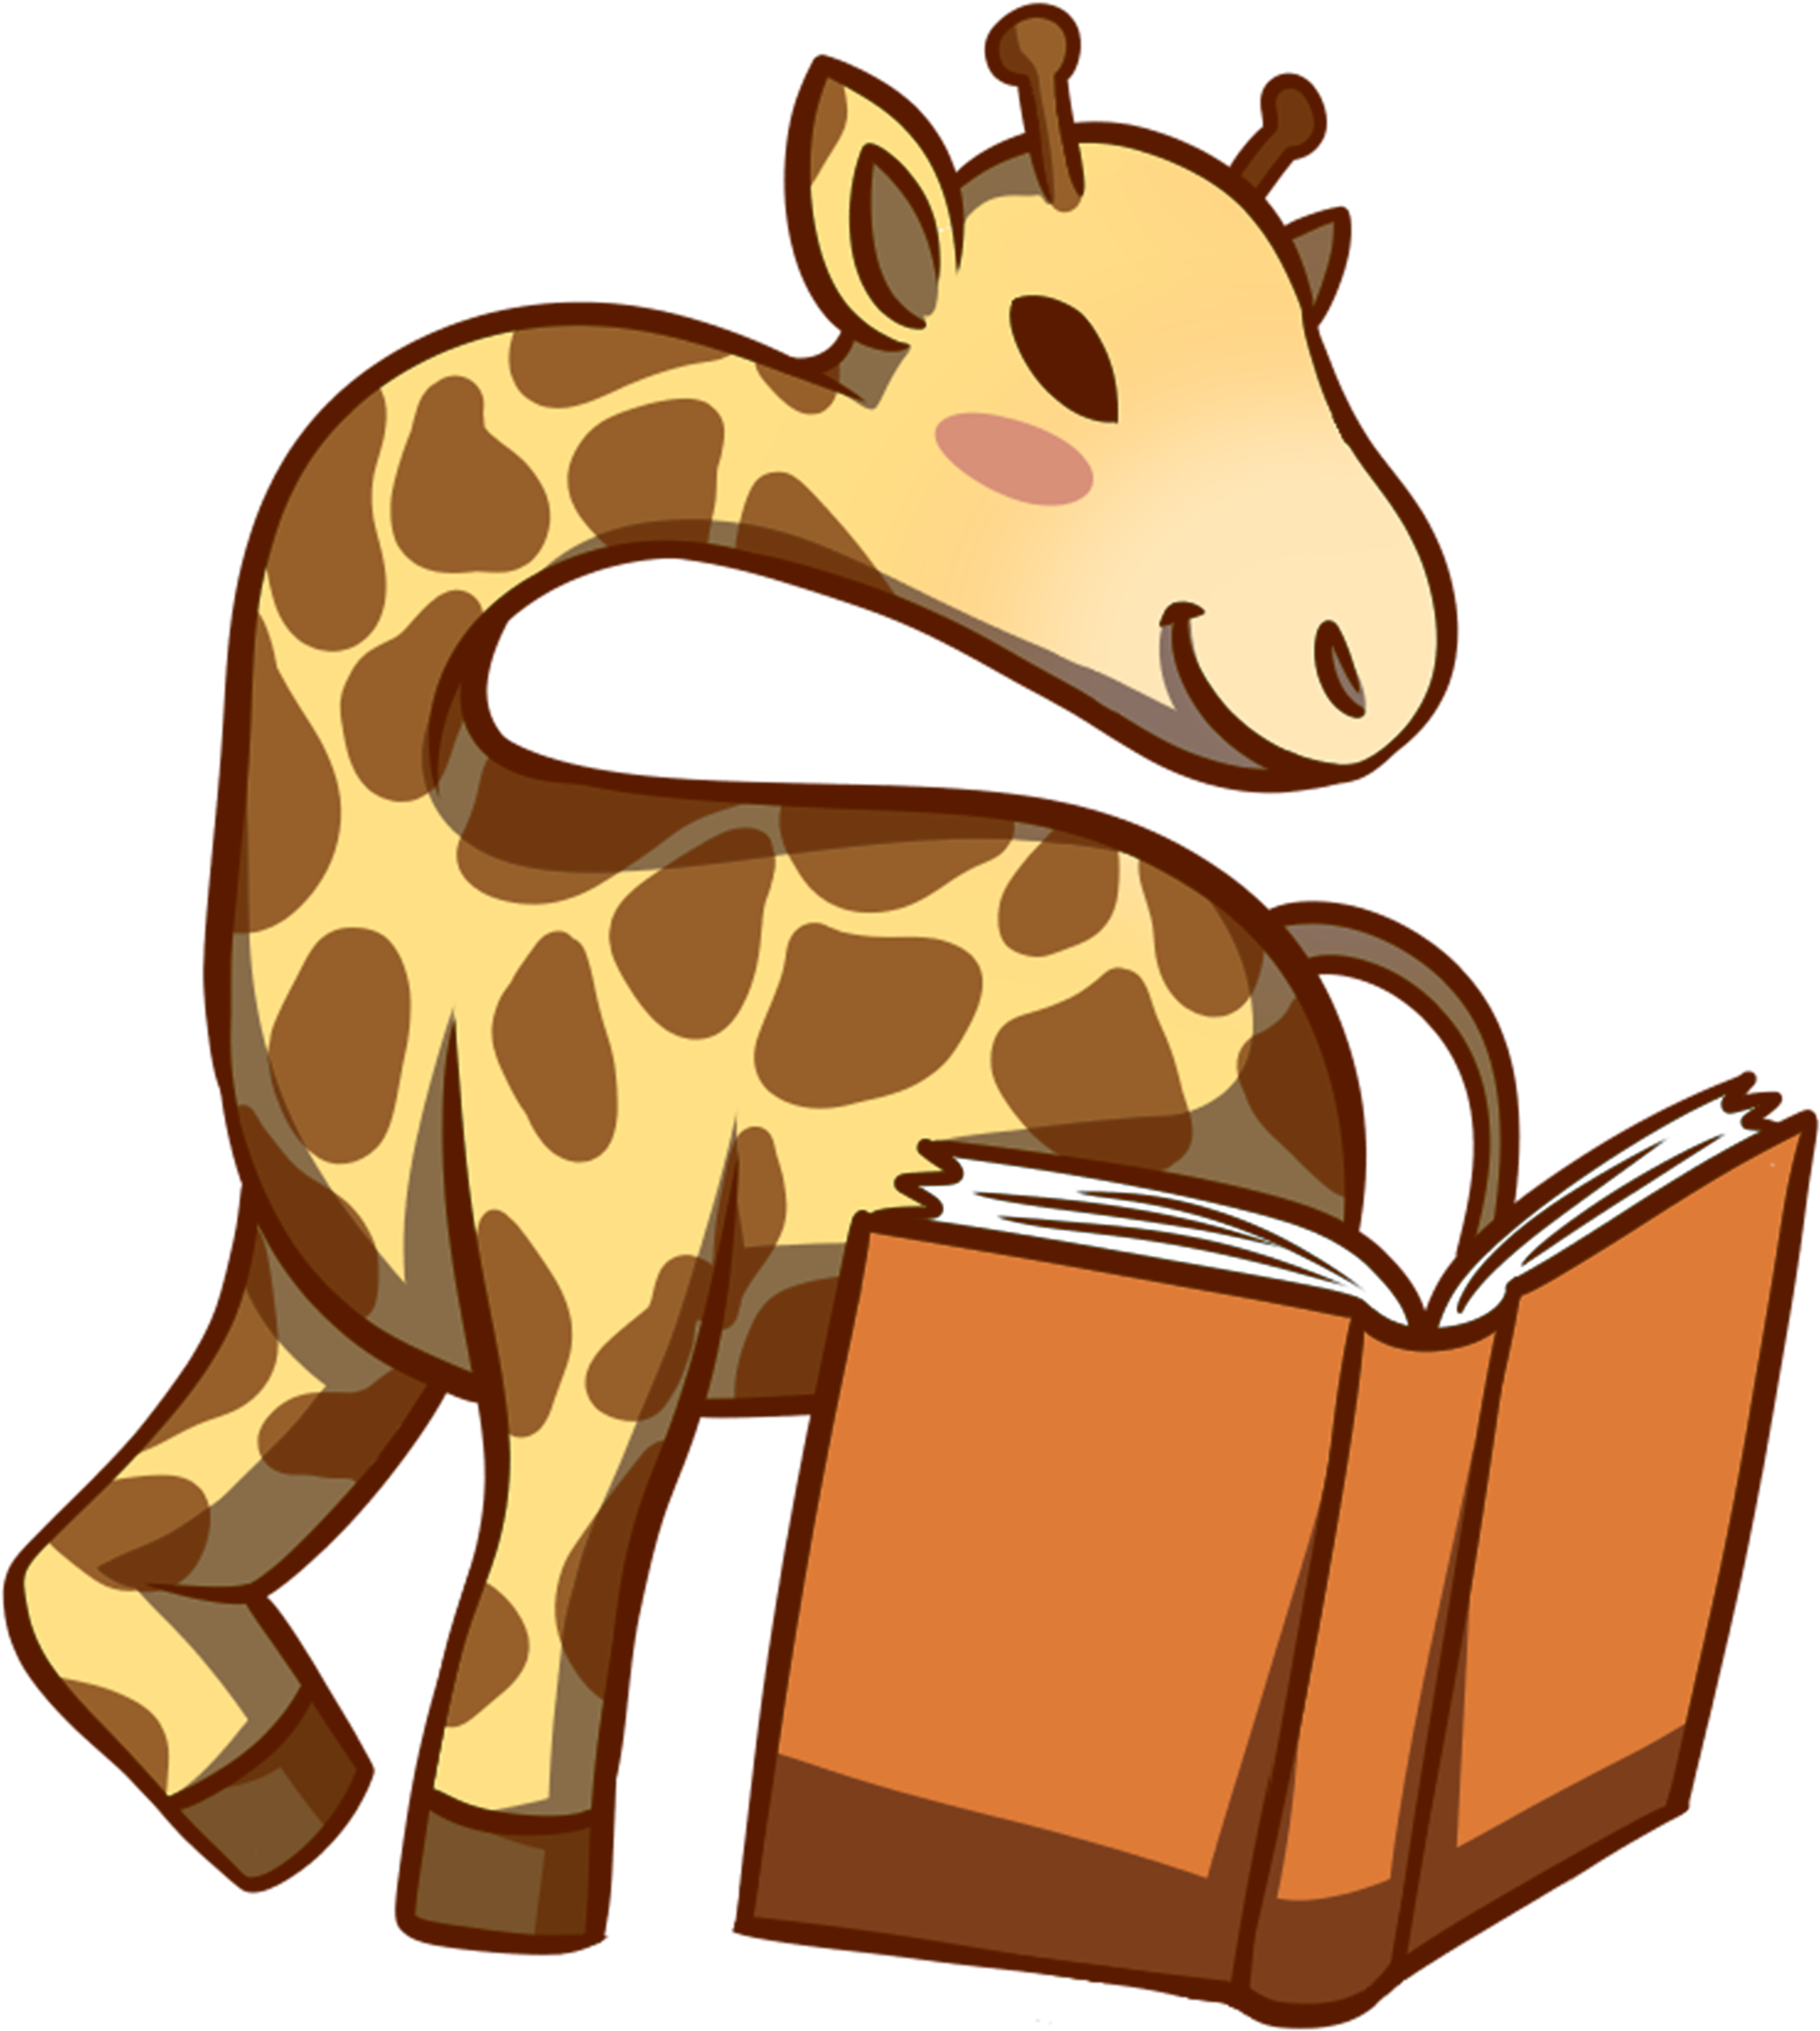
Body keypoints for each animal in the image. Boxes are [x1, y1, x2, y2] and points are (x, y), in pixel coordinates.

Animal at [5, 6, 1465, 1955]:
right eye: (1058, 350)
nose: (1358, 662)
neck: (418, 832)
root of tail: (1298, 951)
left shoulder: (607, 1302)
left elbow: (530, 1619)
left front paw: (494, 1896)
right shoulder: (330, 1315)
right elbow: (78, 1568)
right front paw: (280, 1797)